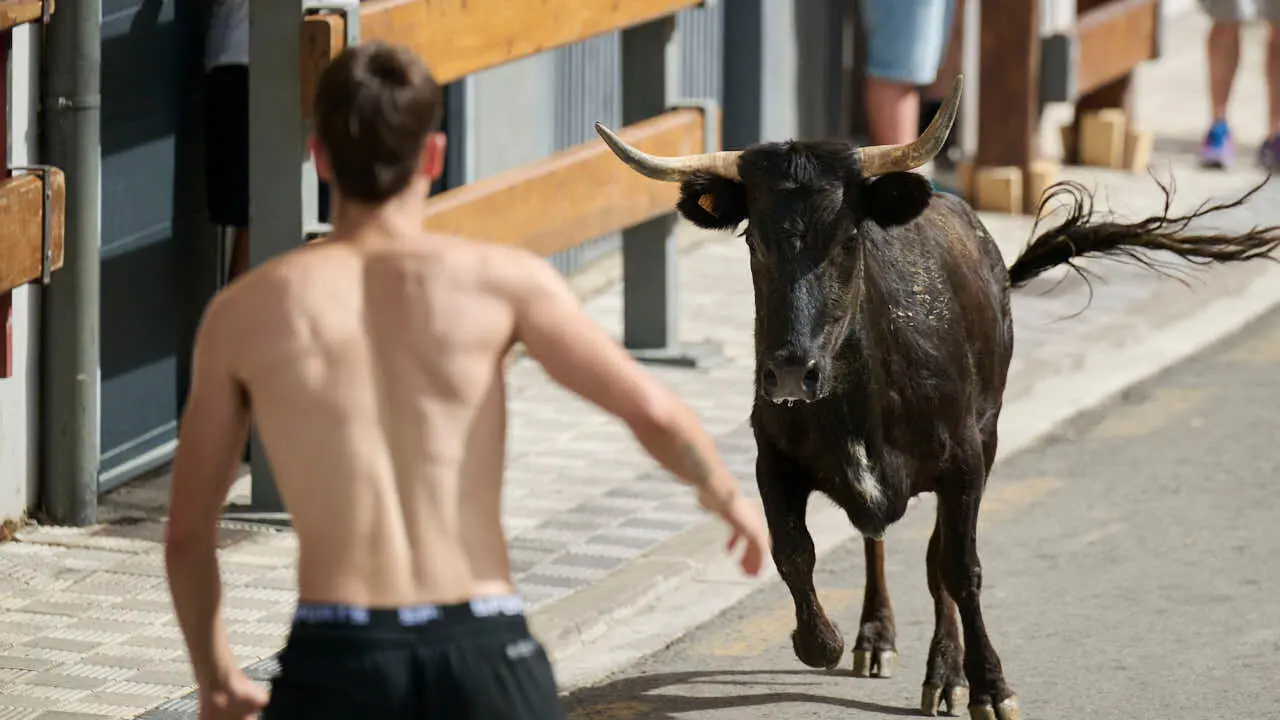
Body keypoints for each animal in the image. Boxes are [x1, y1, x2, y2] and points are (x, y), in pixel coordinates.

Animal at [593, 75, 1280, 720]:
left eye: (848, 239)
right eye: (754, 241)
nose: (790, 374)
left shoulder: (966, 463)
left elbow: (957, 567)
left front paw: (987, 686)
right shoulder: (772, 457)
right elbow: (794, 551)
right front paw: (823, 640)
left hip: (988, 434)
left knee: (934, 557)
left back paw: (945, 673)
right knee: (873, 537)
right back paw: (875, 637)